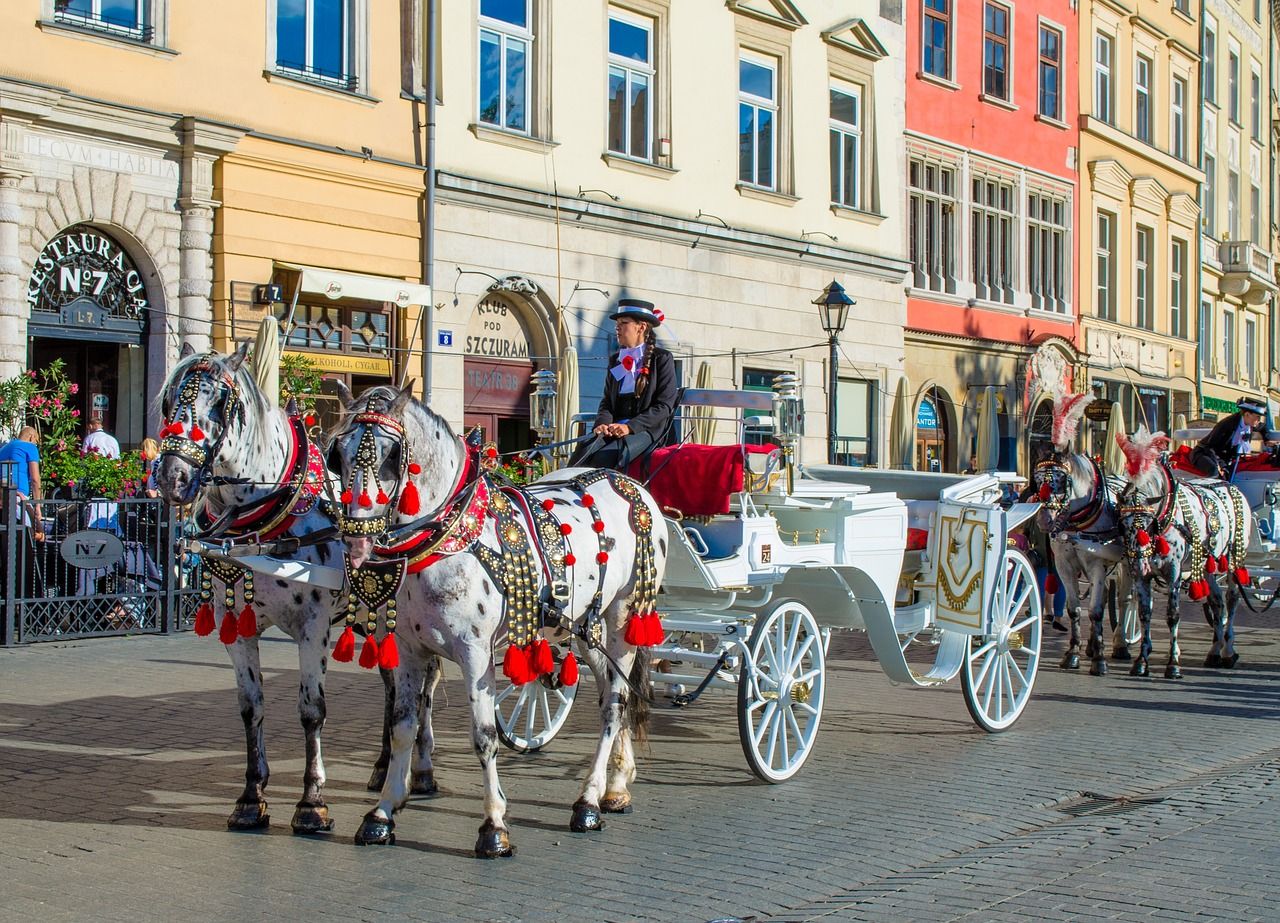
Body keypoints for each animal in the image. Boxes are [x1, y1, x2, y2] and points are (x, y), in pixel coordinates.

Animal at [152, 343, 435, 829]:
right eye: (169, 400)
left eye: (220, 404)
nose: (173, 478)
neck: (262, 519)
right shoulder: (235, 626)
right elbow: (251, 707)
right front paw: (251, 797)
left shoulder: (313, 625)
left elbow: (311, 710)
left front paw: (312, 802)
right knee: (393, 687)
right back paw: (383, 770)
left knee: (424, 689)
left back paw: (422, 769)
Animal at [325, 384, 670, 855]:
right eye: (337, 454)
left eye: (393, 455)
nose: (356, 541)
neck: (446, 536)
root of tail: (633, 485)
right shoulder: (411, 651)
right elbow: (403, 727)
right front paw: (382, 812)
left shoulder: (475, 653)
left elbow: (485, 735)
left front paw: (494, 825)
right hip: (588, 626)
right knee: (612, 696)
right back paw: (616, 786)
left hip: (624, 616)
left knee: (616, 704)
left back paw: (588, 801)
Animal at [1116, 427, 1254, 675]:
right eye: (1122, 524)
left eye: (1148, 525)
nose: (1139, 564)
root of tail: (1229, 485)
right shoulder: (1142, 577)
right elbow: (1144, 613)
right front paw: (1141, 660)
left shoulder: (1174, 572)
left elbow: (1173, 615)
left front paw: (1173, 663)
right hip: (1207, 566)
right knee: (1217, 602)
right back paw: (1214, 652)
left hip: (1234, 559)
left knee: (1231, 600)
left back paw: (1228, 651)